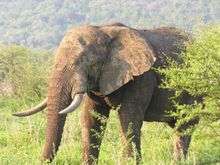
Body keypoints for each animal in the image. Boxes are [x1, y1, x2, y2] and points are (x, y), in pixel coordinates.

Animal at [13, 22, 199, 164]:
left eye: (83, 60)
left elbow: (128, 121)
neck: (104, 29)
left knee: (184, 126)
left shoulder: (141, 78)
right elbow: (90, 119)